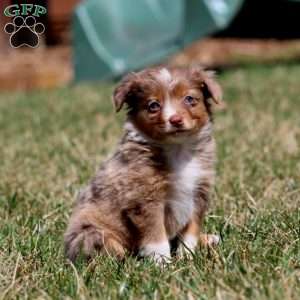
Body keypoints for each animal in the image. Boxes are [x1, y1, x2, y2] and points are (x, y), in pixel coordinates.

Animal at [63, 65, 223, 262]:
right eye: (153, 105)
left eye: (189, 99)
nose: (175, 120)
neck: (177, 148)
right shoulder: (145, 200)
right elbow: (156, 236)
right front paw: (162, 262)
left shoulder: (198, 192)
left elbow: (190, 231)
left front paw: (187, 256)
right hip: (91, 234)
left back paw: (209, 239)